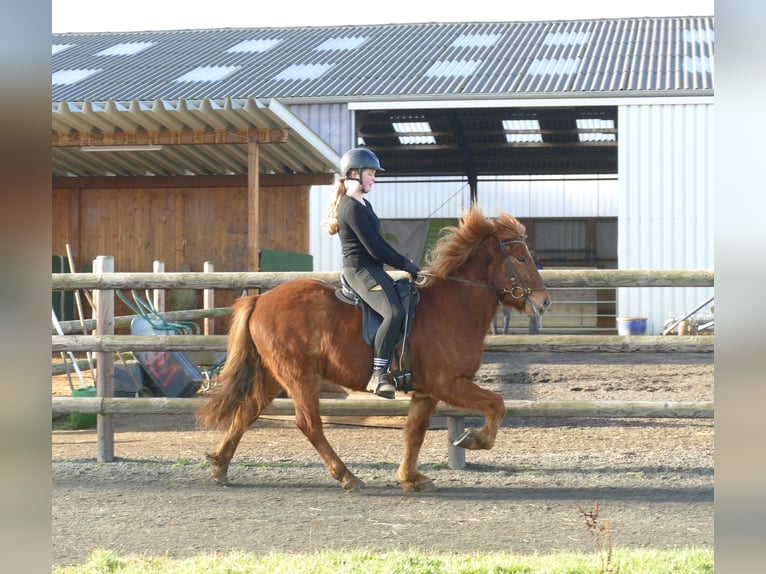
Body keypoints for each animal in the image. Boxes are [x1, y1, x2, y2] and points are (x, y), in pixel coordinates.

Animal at [196, 205, 551, 492]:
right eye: (520, 258)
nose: (544, 302)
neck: (454, 305)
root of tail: (259, 300)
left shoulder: (427, 391)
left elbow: (415, 432)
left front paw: (411, 477)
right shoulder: (449, 383)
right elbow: (496, 404)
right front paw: (474, 440)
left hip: (274, 375)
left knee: (247, 411)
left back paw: (220, 466)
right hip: (299, 376)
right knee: (309, 424)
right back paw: (347, 475)